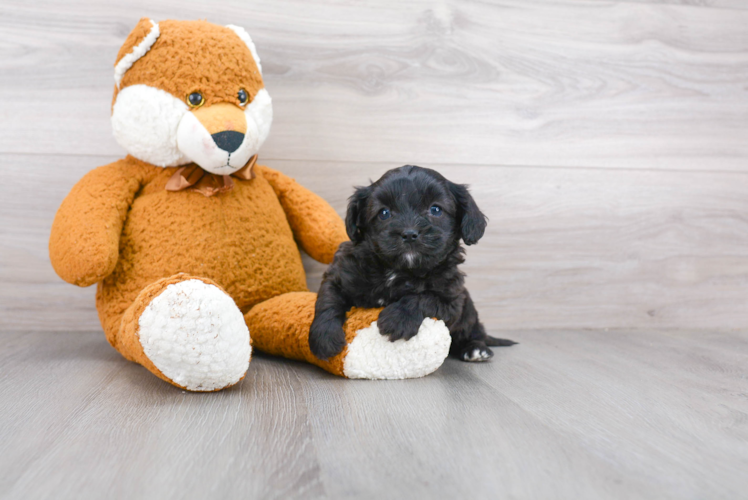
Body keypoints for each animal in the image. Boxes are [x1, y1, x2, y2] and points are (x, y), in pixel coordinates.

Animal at [308, 166, 516, 362]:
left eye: (436, 210)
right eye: (384, 213)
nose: (409, 233)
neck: (398, 270)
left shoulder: (451, 299)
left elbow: (424, 297)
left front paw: (398, 319)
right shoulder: (341, 274)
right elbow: (328, 299)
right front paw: (324, 336)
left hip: (468, 312)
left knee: (473, 331)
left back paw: (476, 349)